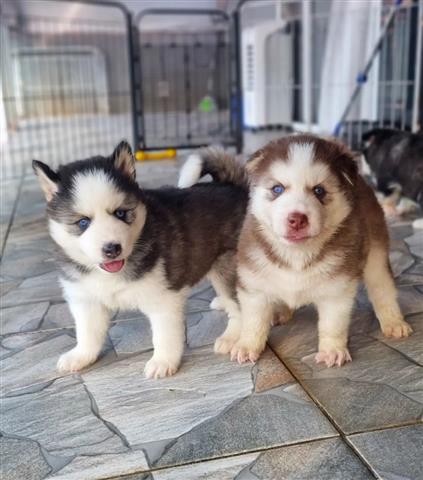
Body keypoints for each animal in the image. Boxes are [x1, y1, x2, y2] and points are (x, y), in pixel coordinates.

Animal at [34, 142, 250, 378]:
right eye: (83, 222)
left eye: (120, 213)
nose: (112, 249)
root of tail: (235, 187)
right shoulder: (85, 299)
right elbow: (88, 332)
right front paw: (80, 356)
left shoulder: (163, 298)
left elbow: (164, 335)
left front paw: (163, 361)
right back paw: (221, 304)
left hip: (228, 268)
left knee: (240, 307)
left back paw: (233, 338)